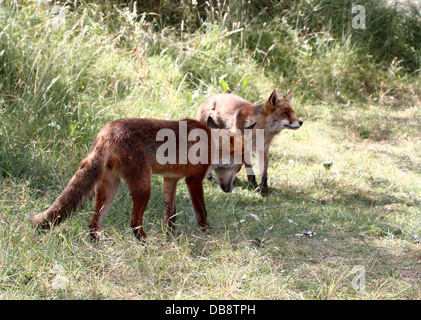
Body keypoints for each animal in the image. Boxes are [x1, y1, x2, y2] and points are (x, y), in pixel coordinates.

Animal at [29, 117, 248, 240]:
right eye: (239, 168)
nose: (231, 188)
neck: (212, 143)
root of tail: (106, 132)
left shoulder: (170, 180)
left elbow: (170, 215)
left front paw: (172, 238)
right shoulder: (193, 180)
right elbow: (201, 213)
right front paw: (208, 234)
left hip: (110, 189)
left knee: (93, 223)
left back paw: (98, 245)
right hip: (144, 187)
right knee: (134, 222)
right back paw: (146, 243)